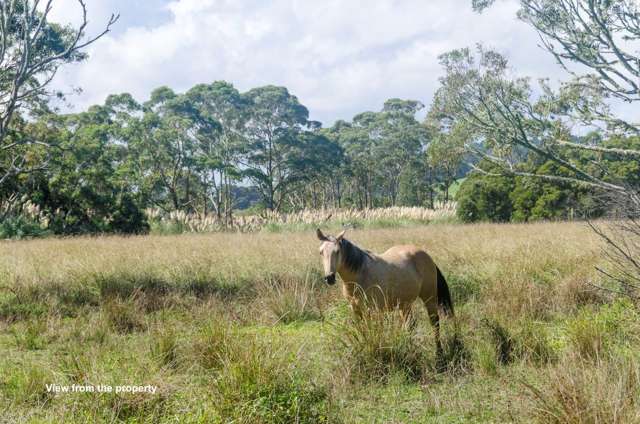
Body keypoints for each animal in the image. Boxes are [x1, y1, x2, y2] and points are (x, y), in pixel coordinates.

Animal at [318, 229, 452, 352]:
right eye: (321, 252)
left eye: (337, 251)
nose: (329, 278)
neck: (360, 274)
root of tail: (427, 257)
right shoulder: (355, 308)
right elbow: (362, 330)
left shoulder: (372, 309)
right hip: (405, 304)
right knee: (409, 325)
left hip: (429, 298)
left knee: (435, 323)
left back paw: (439, 353)